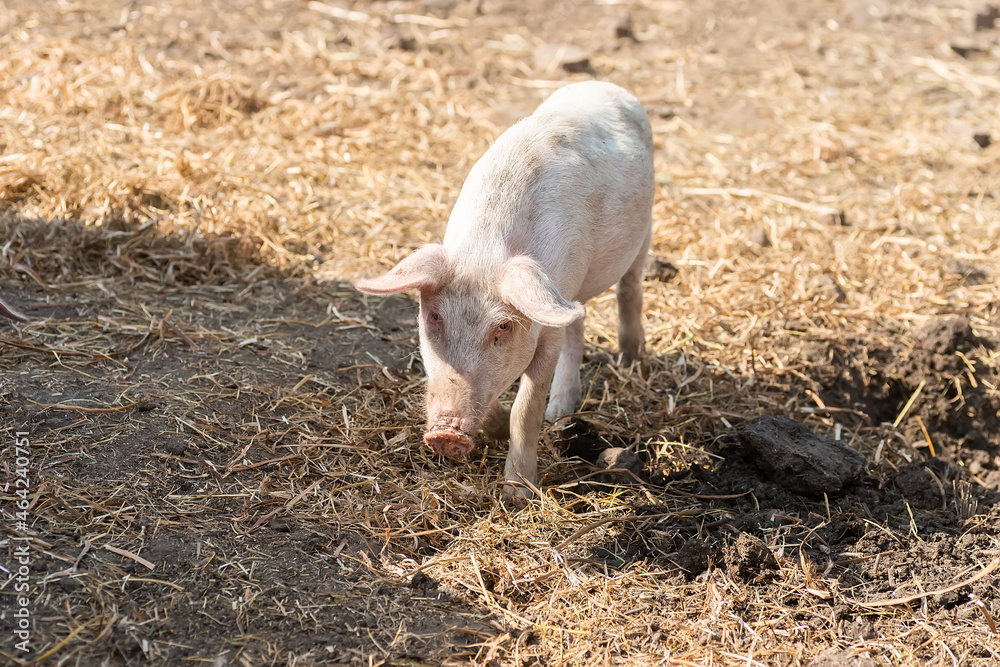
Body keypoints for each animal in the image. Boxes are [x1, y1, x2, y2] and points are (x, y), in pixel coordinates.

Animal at [355, 81, 654, 500]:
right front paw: (494, 433)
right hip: (562, 295)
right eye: (434, 317)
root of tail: (603, 84)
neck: (485, 251)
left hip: (643, 231)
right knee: (578, 320)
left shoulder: (545, 331)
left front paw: (517, 494)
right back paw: (561, 412)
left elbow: (525, 409)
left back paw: (629, 361)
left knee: (629, 289)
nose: (446, 434)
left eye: (503, 327)